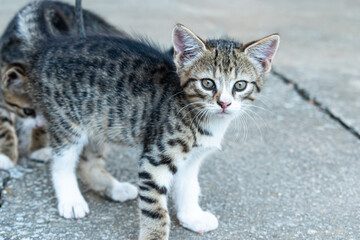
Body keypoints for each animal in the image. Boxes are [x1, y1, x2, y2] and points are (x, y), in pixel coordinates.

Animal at [18, 11, 280, 238]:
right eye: (207, 83)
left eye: (240, 85)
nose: (224, 103)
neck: (201, 117)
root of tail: (45, 46)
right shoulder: (155, 160)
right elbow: (156, 211)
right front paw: (155, 235)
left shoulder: (193, 158)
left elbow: (188, 186)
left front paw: (192, 216)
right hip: (67, 119)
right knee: (62, 161)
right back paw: (71, 200)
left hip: (100, 119)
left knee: (86, 162)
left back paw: (115, 188)